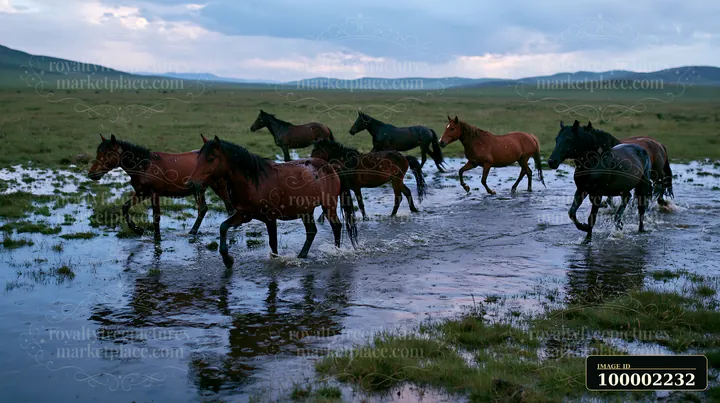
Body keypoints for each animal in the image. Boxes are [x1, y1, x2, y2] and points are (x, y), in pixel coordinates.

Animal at [87, 134, 235, 239]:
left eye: (107, 154)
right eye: (98, 153)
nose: (92, 174)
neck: (144, 167)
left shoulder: (154, 194)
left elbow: (156, 217)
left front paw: (157, 238)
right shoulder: (142, 193)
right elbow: (125, 207)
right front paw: (139, 230)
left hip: (219, 187)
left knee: (229, 208)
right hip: (198, 190)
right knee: (203, 209)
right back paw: (192, 233)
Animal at [185, 135, 358, 269]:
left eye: (210, 159)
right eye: (198, 158)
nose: (190, 183)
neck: (253, 182)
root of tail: (330, 166)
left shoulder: (270, 218)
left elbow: (273, 245)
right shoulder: (244, 215)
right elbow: (223, 227)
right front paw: (228, 260)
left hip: (329, 206)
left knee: (336, 226)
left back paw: (336, 251)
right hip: (306, 210)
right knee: (312, 231)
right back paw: (301, 256)